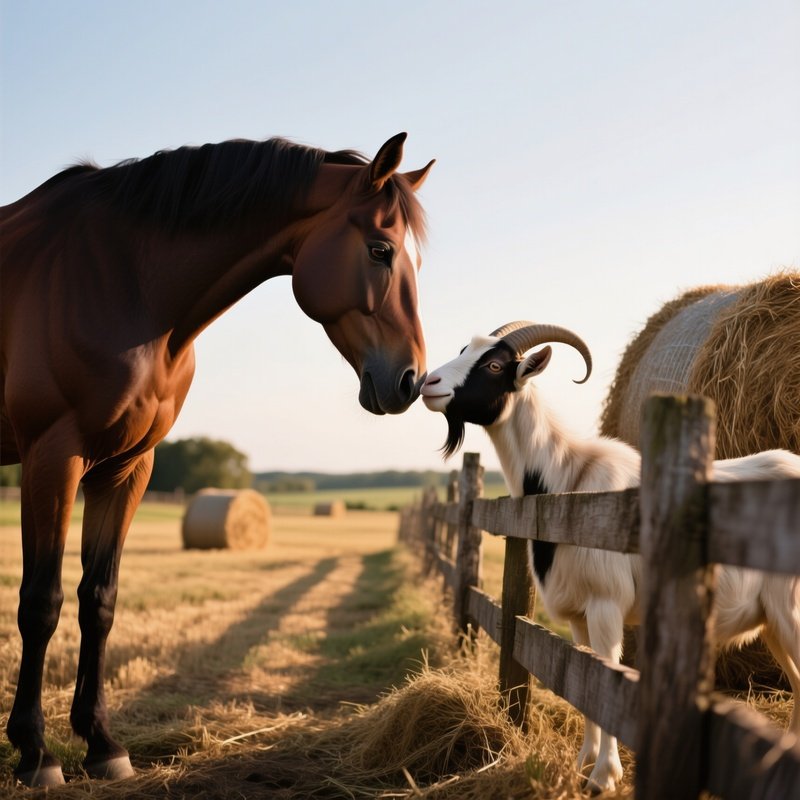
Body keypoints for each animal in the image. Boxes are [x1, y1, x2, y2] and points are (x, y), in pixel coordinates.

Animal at [0, 132, 434, 786]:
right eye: (381, 250)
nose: (410, 380)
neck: (122, 282)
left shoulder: (128, 467)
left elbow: (99, 600)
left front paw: (102, 743)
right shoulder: (54, 456)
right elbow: (41, 603)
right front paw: (35, 751)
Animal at [421, 320, 800, 793]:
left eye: (493, 364)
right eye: (463, 350)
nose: (428, 384)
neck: (566, 482)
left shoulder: (606, 607)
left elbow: (608, 684)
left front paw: (604, 776)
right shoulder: (579, 618)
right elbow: (586, 687)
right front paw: (583, 764)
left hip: (789, 611)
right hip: (772, 622)